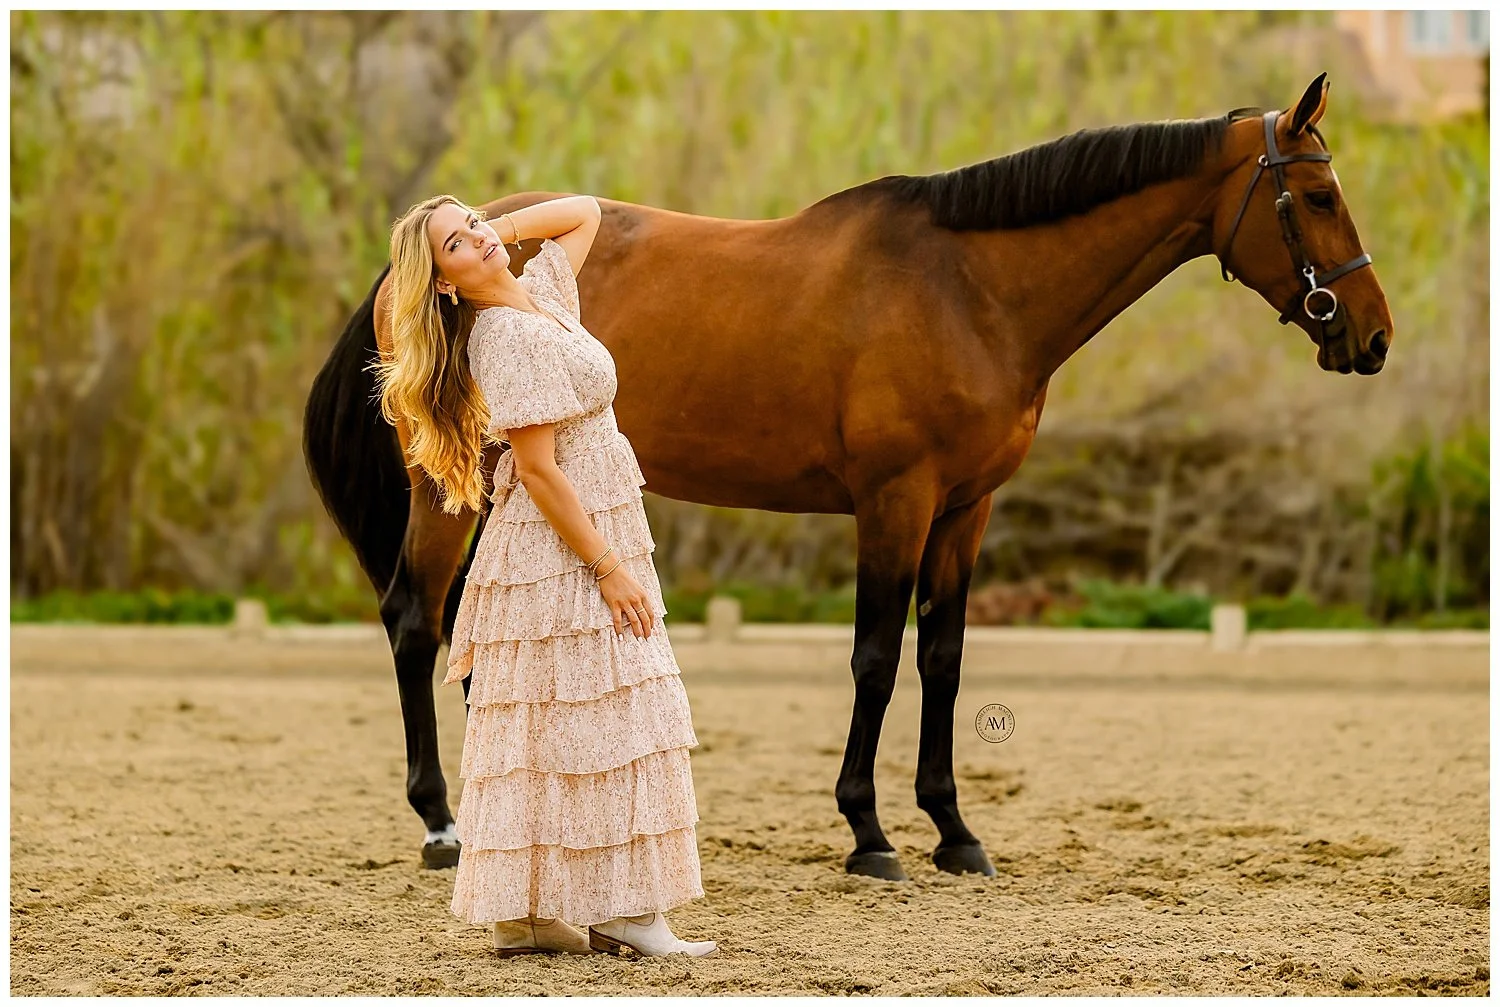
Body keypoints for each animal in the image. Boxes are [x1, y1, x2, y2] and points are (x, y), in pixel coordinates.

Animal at [303, 73, 1392, 878]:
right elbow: (875, 656)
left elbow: (942, 659)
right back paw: (441, 824)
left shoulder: (965, 509)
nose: (1372, 336)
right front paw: (869, 834)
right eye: (1319, 196)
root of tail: (415, 261)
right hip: (450, 491)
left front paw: (955, 832)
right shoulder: (894, 501)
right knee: (414, 620)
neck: (970, 290)